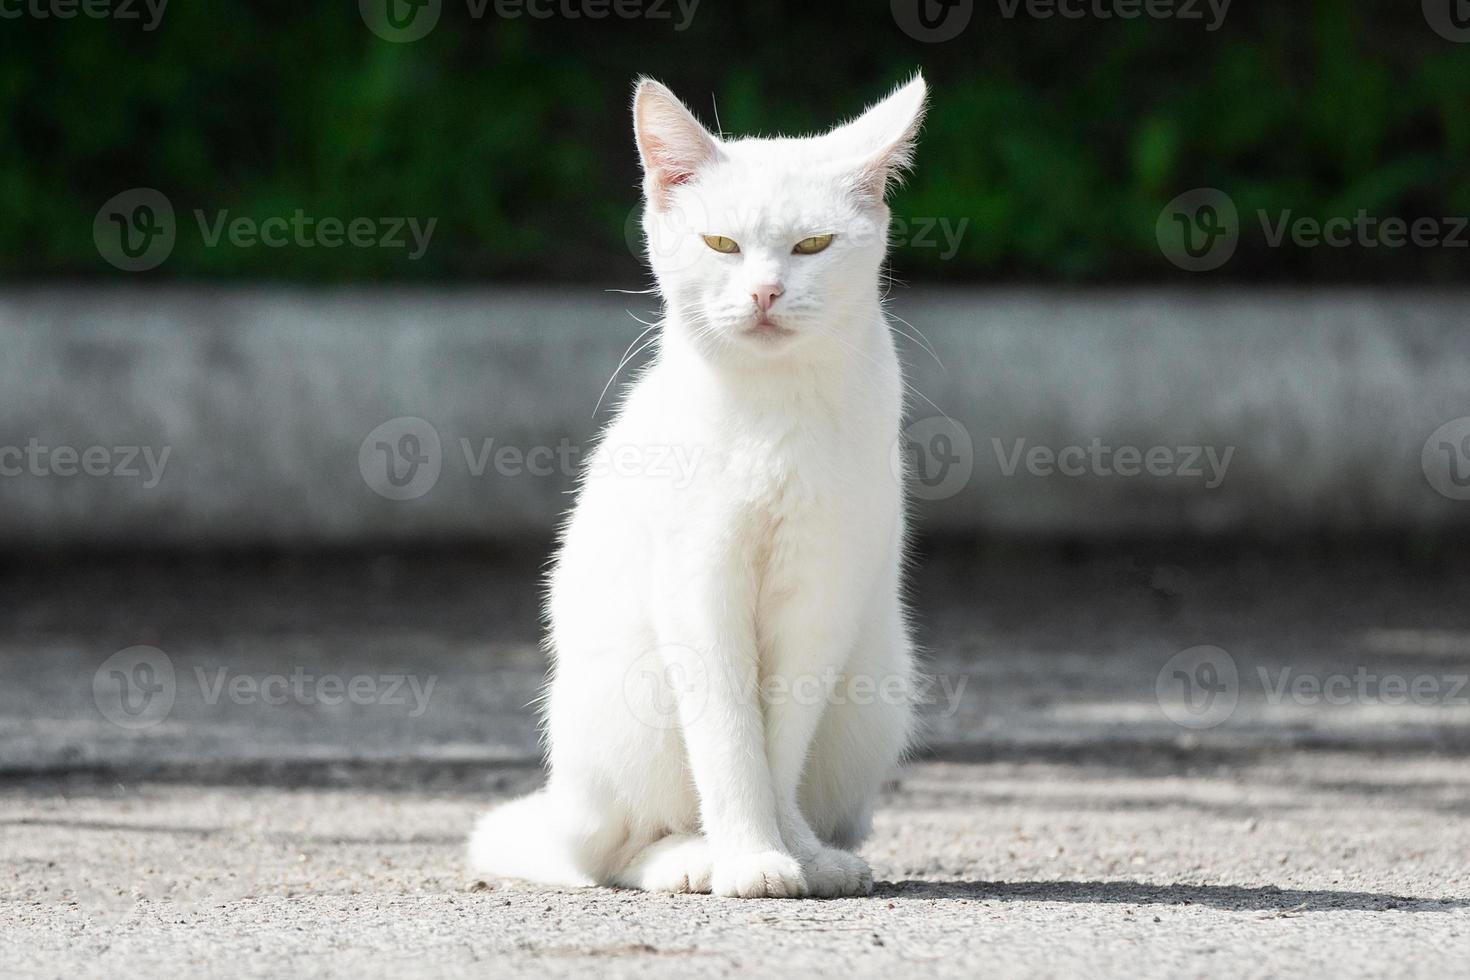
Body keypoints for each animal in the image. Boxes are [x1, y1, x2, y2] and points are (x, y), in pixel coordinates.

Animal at [467, 72, 929, 899]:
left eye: (813, 246)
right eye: (721, 245)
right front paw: (748, 858)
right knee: (612, 852)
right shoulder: (697, 582)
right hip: (630, 698)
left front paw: (792, 852)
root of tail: (560, 810)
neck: (773, 410)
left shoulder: (822, 594)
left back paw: (817, 849)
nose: (766, 293)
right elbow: (727, 740)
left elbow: (778, 745)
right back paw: (690, 857)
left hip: (877, 687)